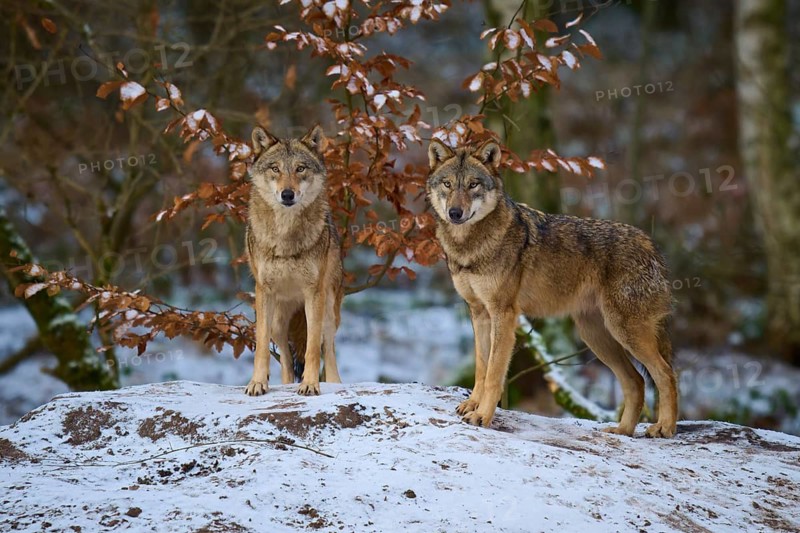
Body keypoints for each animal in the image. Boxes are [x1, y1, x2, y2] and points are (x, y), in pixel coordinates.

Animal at [244, 125, 343, 396]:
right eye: (275, 168)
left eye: (300, 168)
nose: (287, 194)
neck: (285, 237)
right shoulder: (263, 291)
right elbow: (261, 347)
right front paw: (257, 383)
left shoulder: (314, 293)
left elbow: (312, 348)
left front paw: (310, 384)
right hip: (278, 323)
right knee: (286, 360)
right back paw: (284, 384)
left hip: (329, 310)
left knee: (328, 349)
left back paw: (335, 384)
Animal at [427, 139, 678, 437]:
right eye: (448, 184)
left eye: (473, 184)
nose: (455, 213)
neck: (469, 247)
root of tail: (651, 245)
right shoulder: (478, 312)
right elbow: (481, 366)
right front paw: (472, 405)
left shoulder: (504, 314)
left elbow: (494, 374)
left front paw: (482, 416)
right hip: (596, 336)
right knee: (637, 381)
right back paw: (622, 430)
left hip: (625, 332)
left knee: (666, 374)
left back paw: (664, 428)